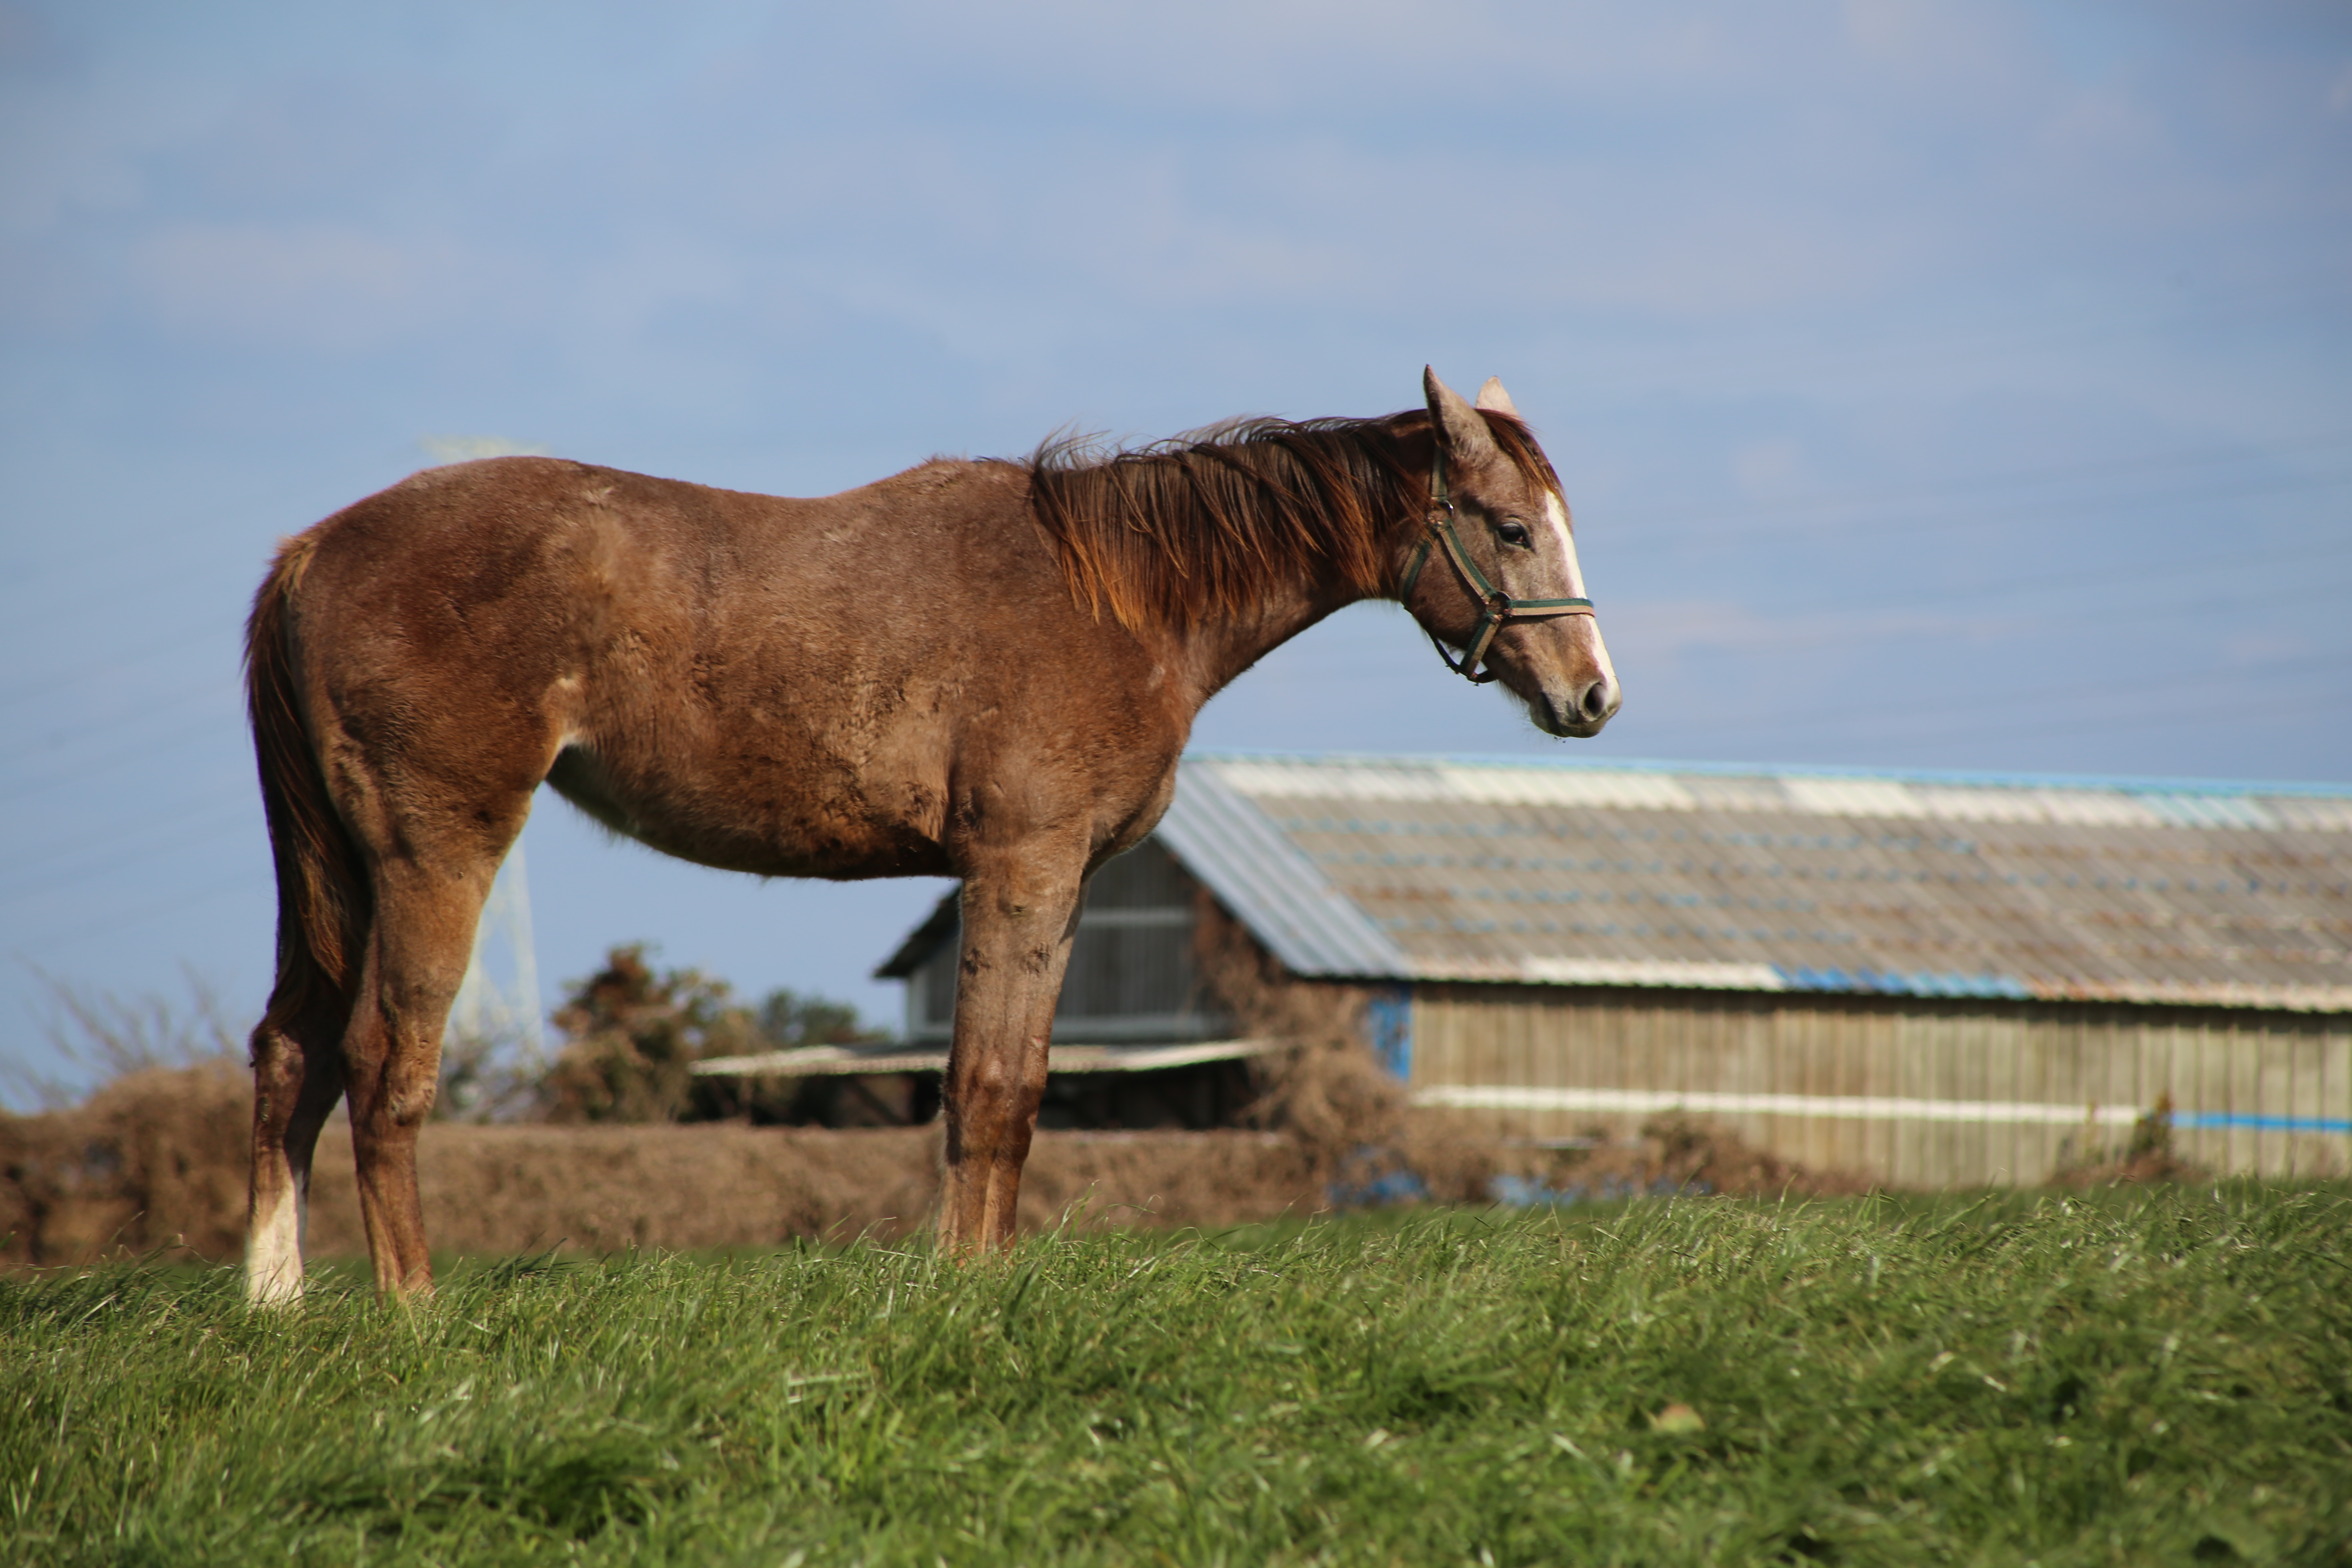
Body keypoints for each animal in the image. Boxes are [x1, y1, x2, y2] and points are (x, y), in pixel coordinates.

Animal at [248, 369, 1627, 1297]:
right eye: (1511, 528)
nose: (1593, 697)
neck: (1120, 598)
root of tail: (311, 550)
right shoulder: (1020, 866)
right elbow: (989, 1087)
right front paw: (965, 1286)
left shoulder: (1054, 884)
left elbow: (1012, 1085)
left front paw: (983, 1278)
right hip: (437, 853)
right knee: (384, 1065)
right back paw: (412, 1312)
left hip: (334, 875)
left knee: (289, 1054)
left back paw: (279, 1303)